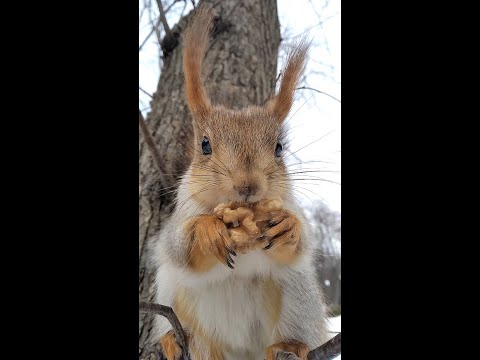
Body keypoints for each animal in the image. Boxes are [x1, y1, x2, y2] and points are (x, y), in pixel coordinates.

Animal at [150, 5, 330, 360]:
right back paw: (174, 341)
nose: (248, 186)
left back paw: (291, 345)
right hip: (173, 295)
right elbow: (177, 243)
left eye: (279, 147)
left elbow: (302, 244)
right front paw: (207, 230)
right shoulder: (180, 213)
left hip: (298, 295)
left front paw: (289, 226)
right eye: (204, 145)